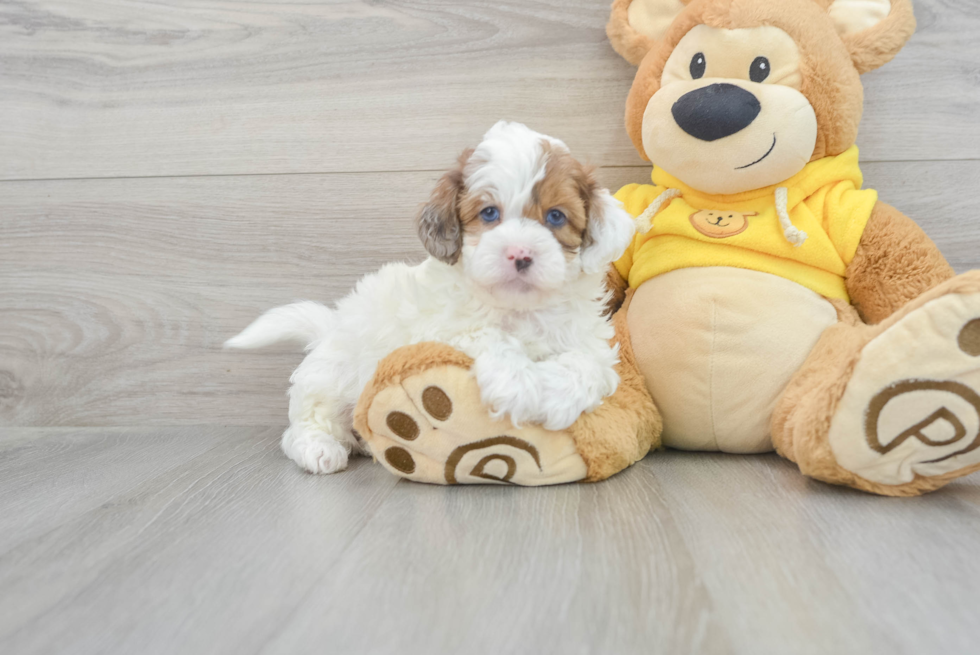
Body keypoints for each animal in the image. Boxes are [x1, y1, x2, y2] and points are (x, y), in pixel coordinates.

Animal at [224, 120, 636, 474]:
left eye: (555, 217)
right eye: (489, 213)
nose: (520, 254)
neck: (518, 309)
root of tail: (330, 327)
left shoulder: (588, 340)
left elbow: (588, 365)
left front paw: (555, 399)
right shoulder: (438, 330)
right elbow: (485, 335)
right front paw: (518, 385)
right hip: (332, 379)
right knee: (307, 421)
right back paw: (319, 448)